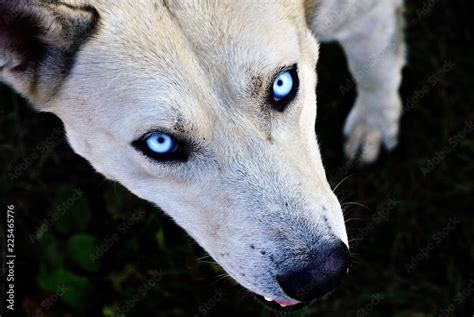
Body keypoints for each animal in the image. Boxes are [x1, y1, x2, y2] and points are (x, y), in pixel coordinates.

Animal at [0, 0, 404, 312]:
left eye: (283, 84)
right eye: (160, 143)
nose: (322, 275)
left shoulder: (366, 15)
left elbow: (375, 67)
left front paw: (375, 122)